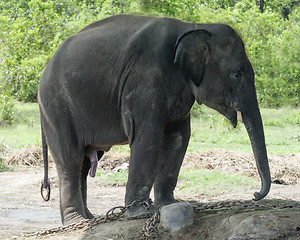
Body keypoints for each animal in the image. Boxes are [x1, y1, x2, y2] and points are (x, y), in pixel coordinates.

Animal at [38, 15, 270, 225]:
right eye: (237, 74)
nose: (255, 195)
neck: (192, 27)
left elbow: (179, 138)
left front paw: (168, 205)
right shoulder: (144, 81)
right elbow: (148, 135)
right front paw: (140, 213)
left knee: (85, 163)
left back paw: (90, 218)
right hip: (57, 109)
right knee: (71, 160)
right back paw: (76, 221)